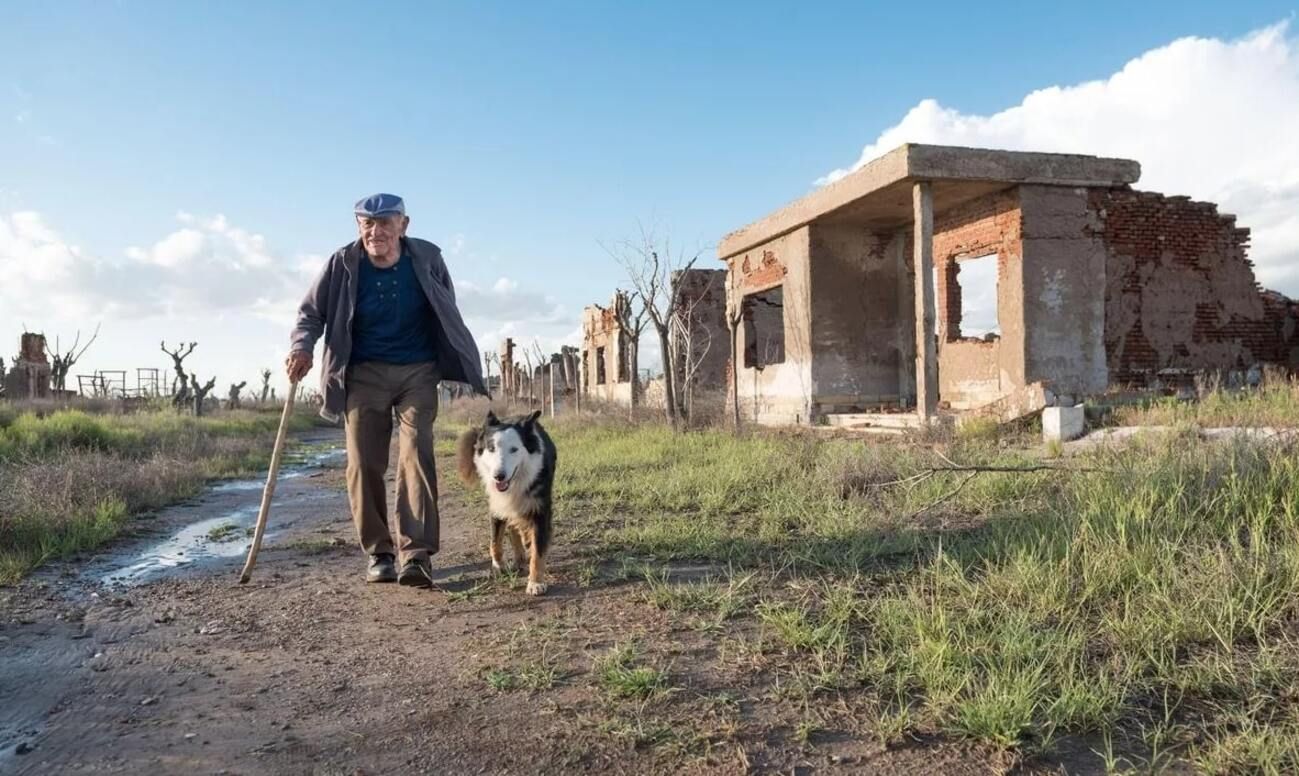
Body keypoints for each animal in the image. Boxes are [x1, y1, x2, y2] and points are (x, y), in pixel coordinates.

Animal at [454, 410, 555, 592]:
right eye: (491, 448)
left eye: (514, 449)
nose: (498, 476)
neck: (516, 482)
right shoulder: (497, 505)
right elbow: (495, 541)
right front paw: (498, 566)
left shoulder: (541, 510)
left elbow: (538, 552)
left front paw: (535, 583)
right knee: (513, 527)